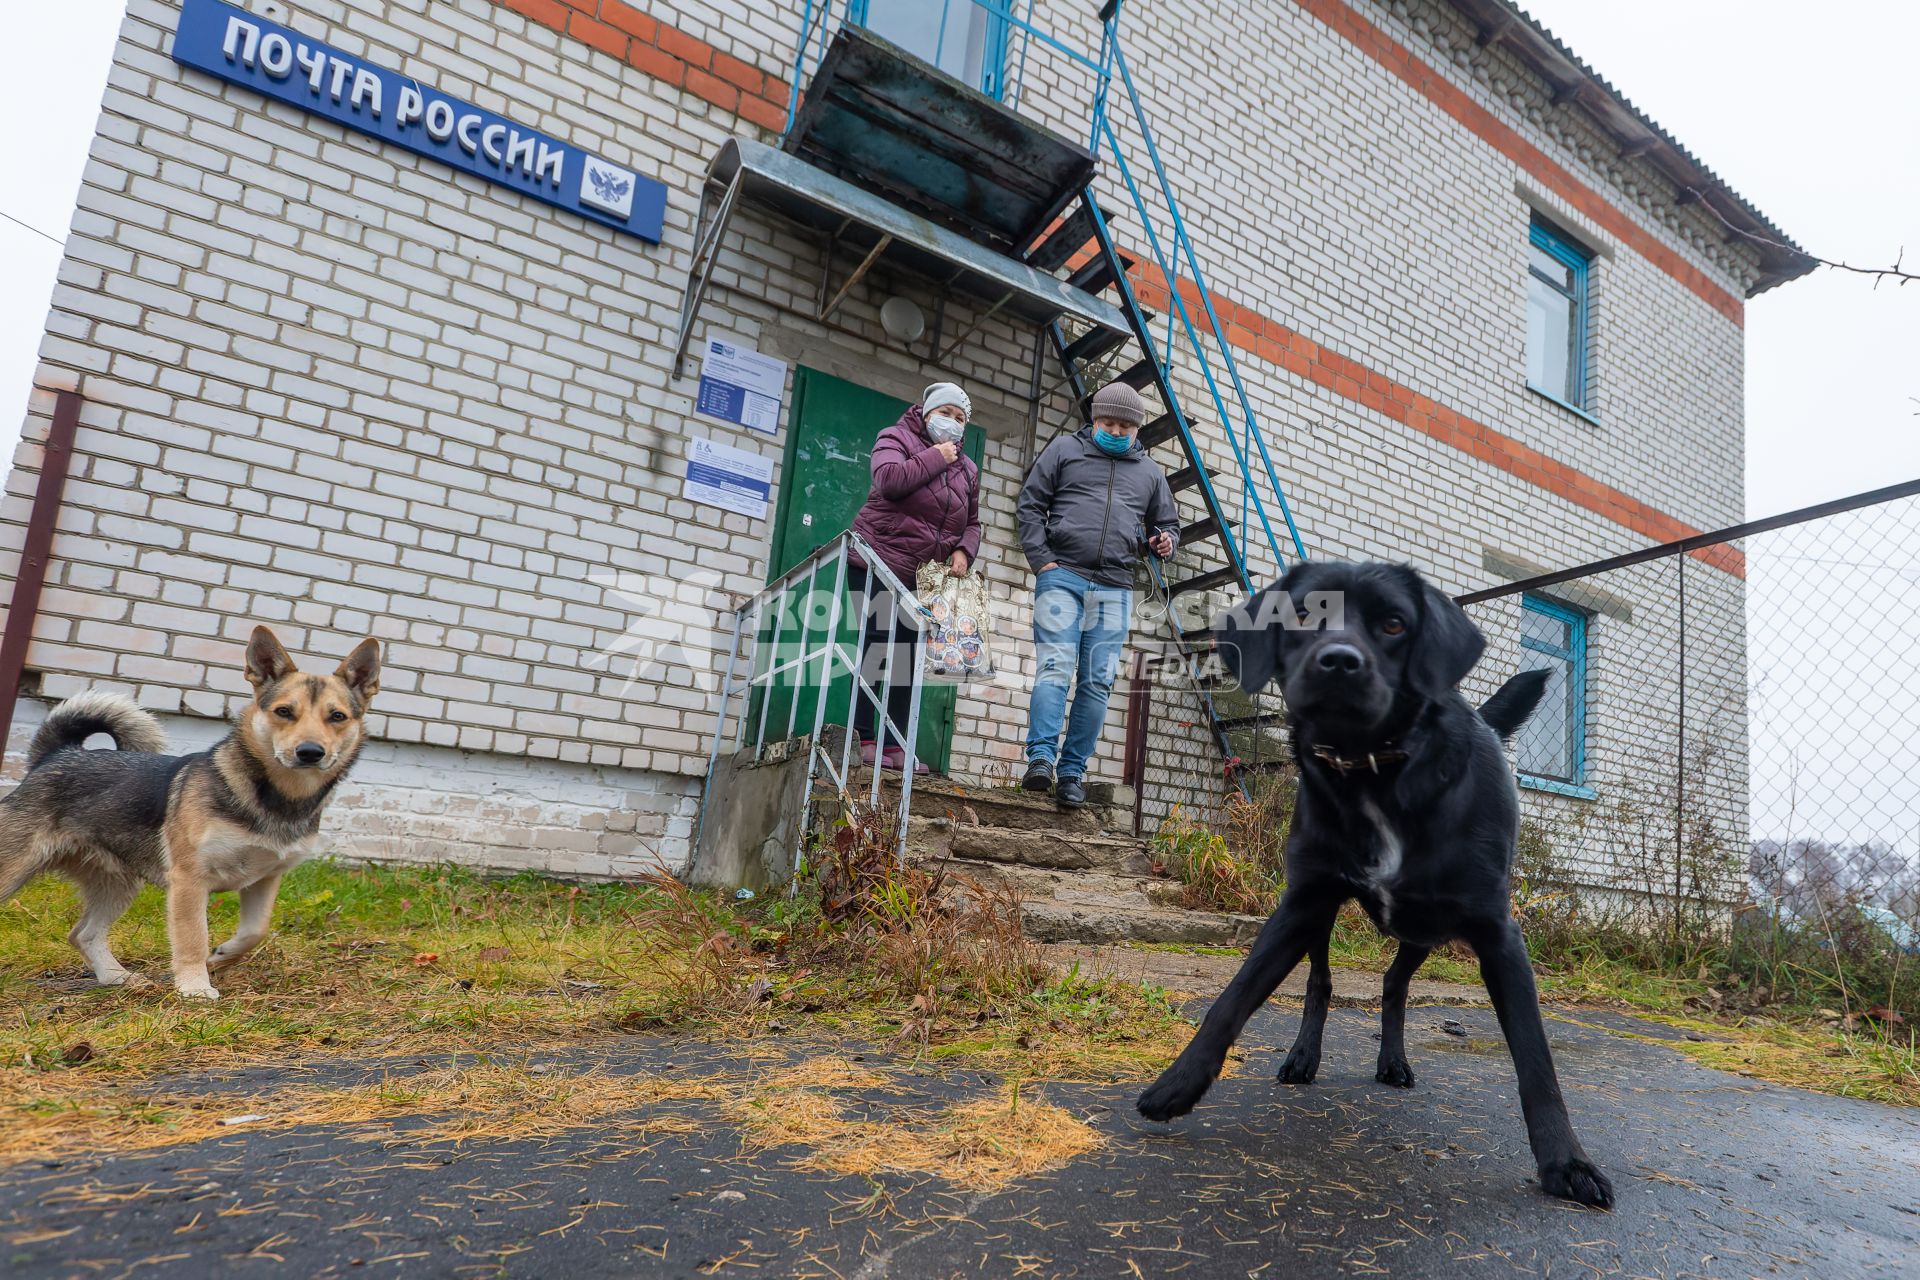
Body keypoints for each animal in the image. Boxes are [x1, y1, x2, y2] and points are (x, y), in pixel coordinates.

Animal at [0, 629, 378, 997]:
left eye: (337, 716)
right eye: (284, 712)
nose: (310, 752)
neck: (278, 797)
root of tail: (56, 754)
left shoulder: (266, 879)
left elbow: (255, 930)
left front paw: (222, 956)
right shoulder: (189, 879)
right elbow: (193, 936)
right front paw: (195, 987)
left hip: (118, 881)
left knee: (83, 933)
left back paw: (117, 977)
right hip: (16, 868)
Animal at [1136, 560, 1620, 1212]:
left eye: (1393, 624)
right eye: (1302, 615)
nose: (1338, 662)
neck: (1374, 771)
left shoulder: (1499, 934)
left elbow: (1536, 1059)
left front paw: (1567, 1162)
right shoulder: (1302, 901)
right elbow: (1230, 1002)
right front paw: (1177, 1086)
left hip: (1425, 927)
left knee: (1393, 983)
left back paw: (1393, 1061)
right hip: (1326, 915)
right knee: (1322, 981)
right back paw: (1303, 1056)